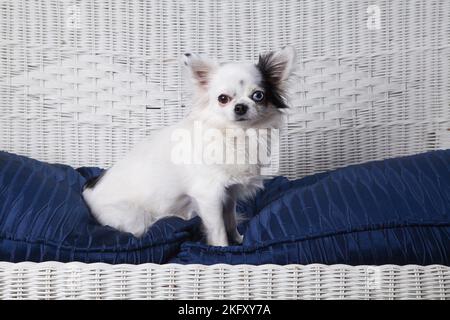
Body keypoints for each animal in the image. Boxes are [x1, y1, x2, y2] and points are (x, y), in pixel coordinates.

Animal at [82, 45, 298, 245]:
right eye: (223, 99)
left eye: (258, 96)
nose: (240, 107)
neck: (237, 135)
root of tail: (88, 191)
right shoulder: (209, 194)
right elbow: (219, 229)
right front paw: (222, 248)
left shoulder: (229, 193)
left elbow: (230, 220)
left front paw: (238, 239)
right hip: (136, 219)